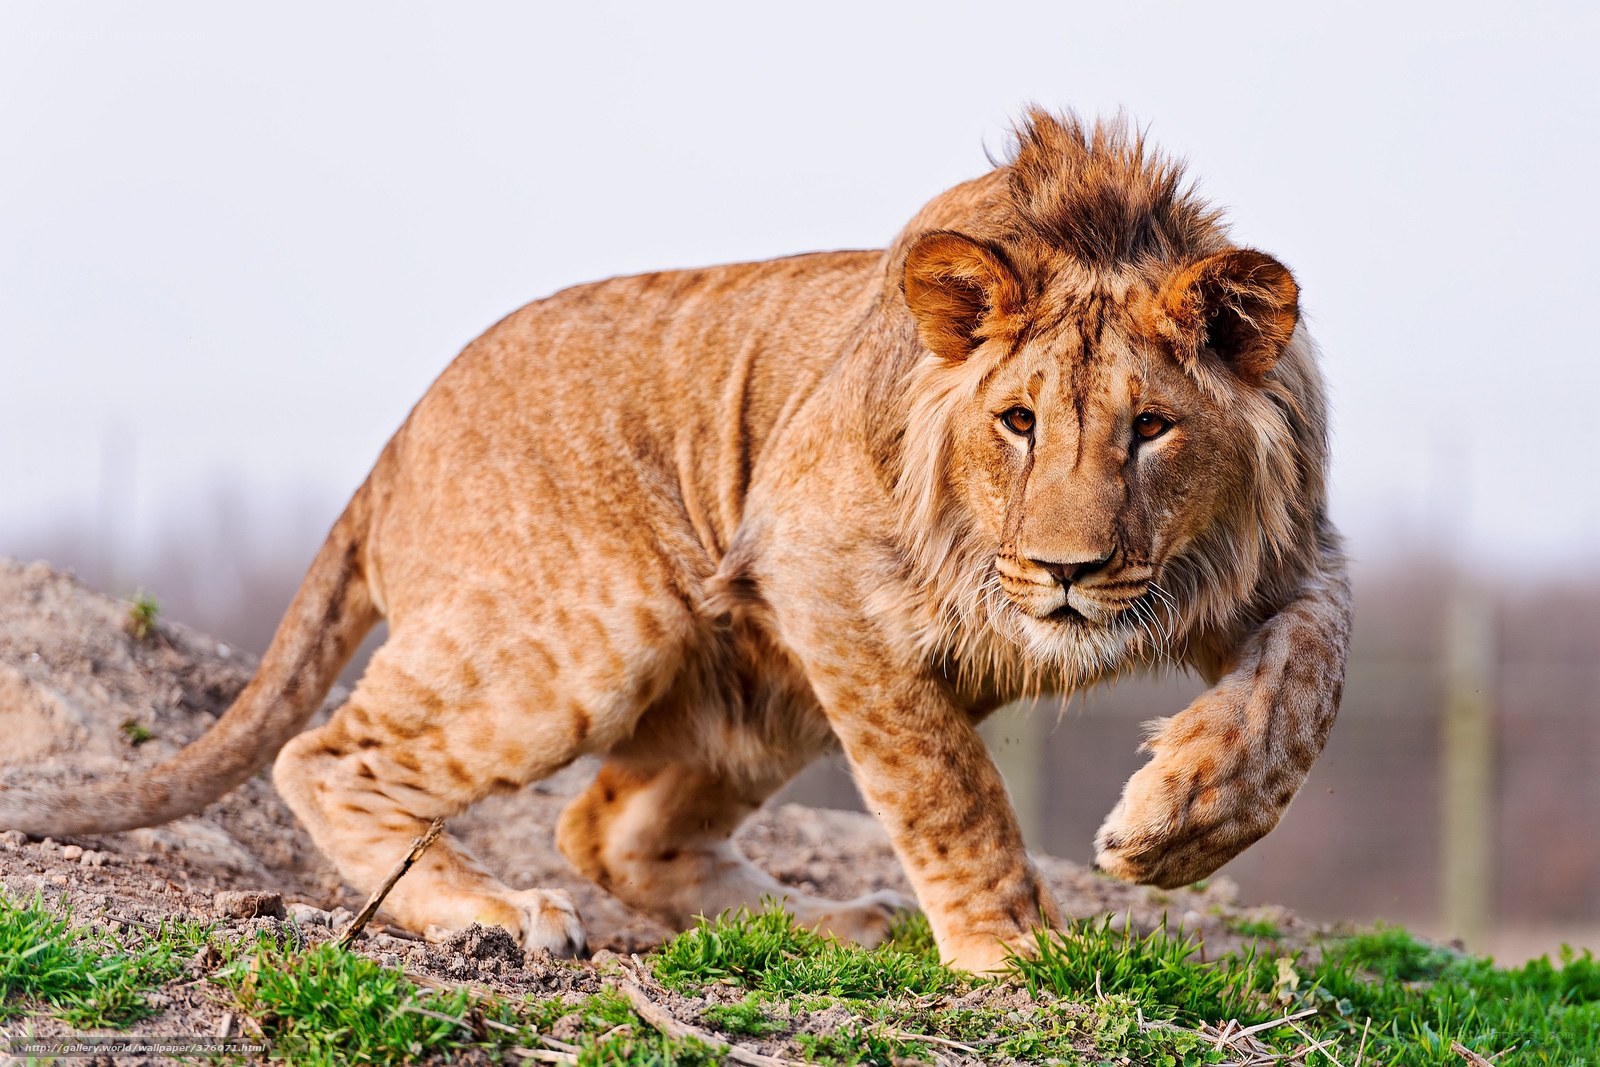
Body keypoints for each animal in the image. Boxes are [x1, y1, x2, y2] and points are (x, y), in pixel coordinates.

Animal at [0, 111, 1349, 972]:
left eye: (1151, 428)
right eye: (1017, 422)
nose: (1069, 572)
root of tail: (397, 441)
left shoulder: (1287, 556)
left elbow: (1303, 688)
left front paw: (1176, 824)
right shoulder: (818, 561)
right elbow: (947, 783)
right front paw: (1009, 949)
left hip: (761, 688)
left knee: (609, 828)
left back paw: (830, 923)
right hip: (606, 624)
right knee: (330, 755)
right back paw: (493, 913)